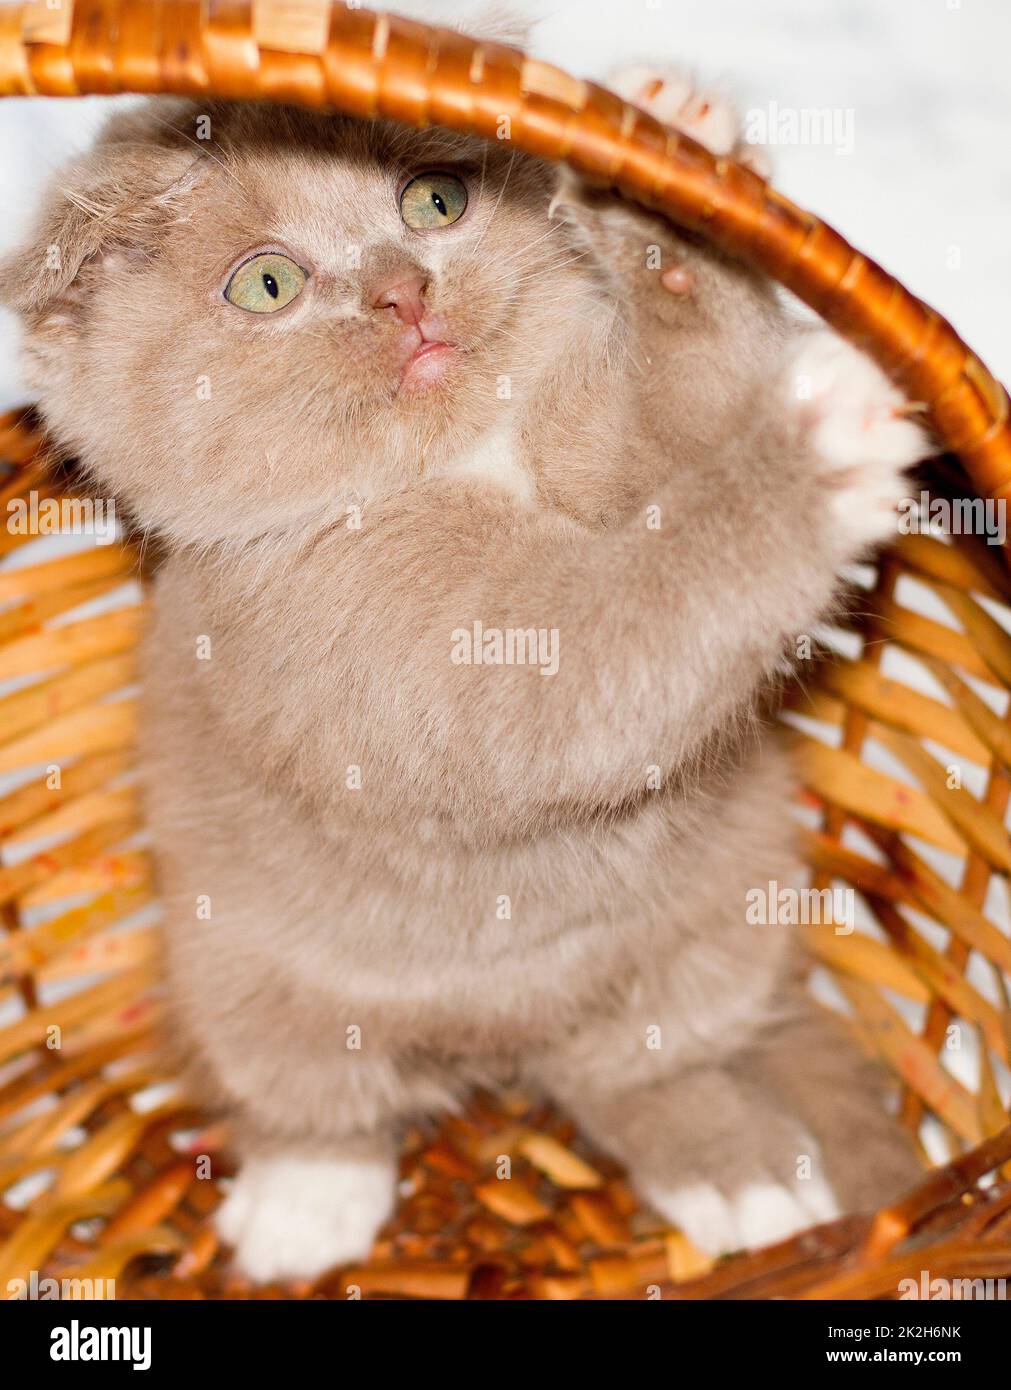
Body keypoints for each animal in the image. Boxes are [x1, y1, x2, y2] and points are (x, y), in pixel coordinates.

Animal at [1, 65, 934, 1278]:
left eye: (433, 201)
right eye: (266, 283)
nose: (403, 291)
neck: (469, 460)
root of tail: (500, 1045)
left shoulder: (614, 447)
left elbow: (690, 410)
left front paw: (666, 177)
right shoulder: (417, 651)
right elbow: (639, 613)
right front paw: (806, 467)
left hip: (724, 917)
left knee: (637, 1069)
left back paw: (742, 1173)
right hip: (238, 980)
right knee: (318, 1102)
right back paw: (305, 1206)